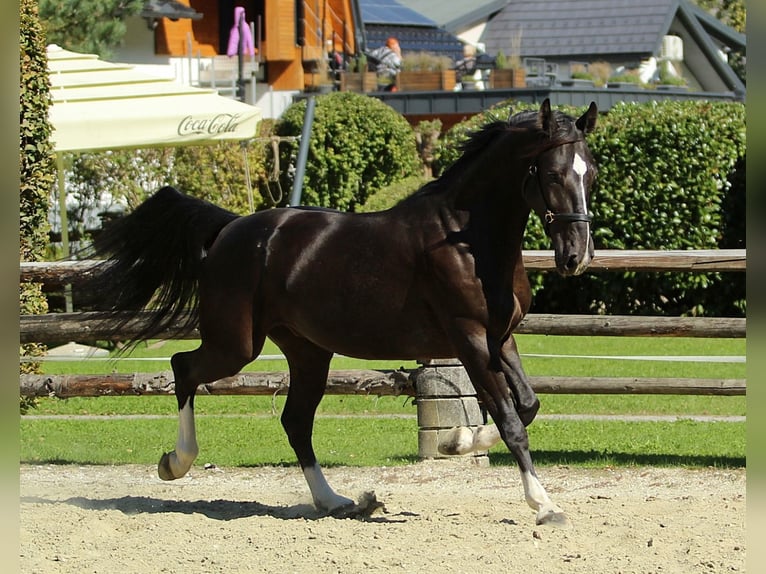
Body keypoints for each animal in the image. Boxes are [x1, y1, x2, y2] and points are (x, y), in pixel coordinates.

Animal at [83, 98, 598, 526]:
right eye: (553, 175)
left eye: (590, 174)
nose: (576, 256)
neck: (466, 241)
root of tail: (232, 227)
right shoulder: (469, 337)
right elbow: (511, 420)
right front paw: (543, 505)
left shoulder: (501, 336)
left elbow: (527, 406)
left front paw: (456, 442)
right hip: (237, 344)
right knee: (183, 368)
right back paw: (175, 462)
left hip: (308, 351)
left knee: (294, 420)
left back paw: (334, 501)